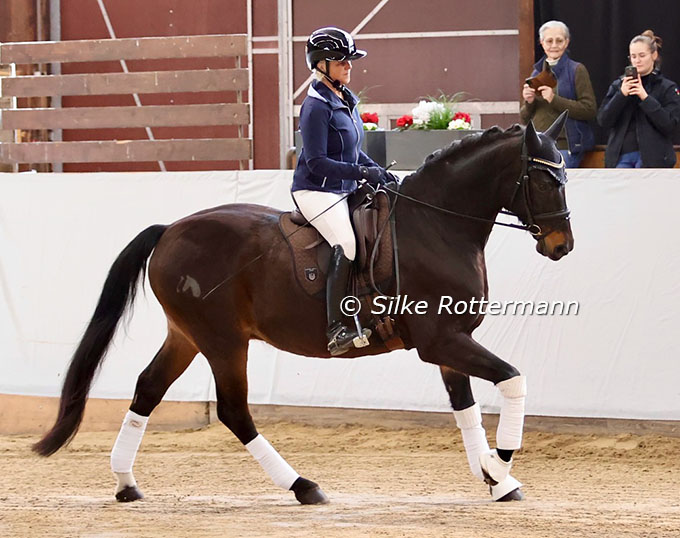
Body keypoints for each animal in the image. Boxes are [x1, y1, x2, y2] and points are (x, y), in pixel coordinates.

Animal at [32, 112, 573, 505]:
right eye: (545, 181)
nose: (561, 245)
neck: (435, 226)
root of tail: (170, 230)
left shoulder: (449, 342)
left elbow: (465, 409)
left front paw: (496, 480)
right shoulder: (441, 340)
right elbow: (513, 379)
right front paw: (500, 465)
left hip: (185, 335)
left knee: (148, 389)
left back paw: (126, 483)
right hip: (222, 341)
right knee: (233, 410)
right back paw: (302, 486)